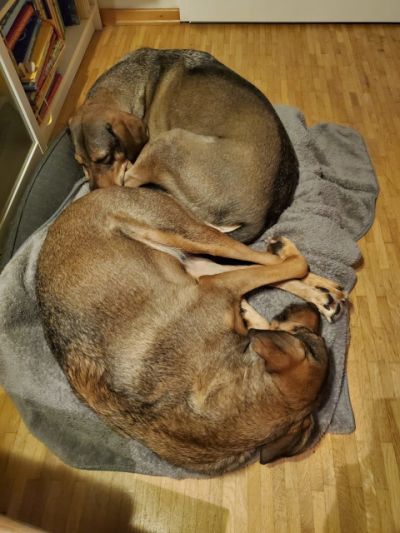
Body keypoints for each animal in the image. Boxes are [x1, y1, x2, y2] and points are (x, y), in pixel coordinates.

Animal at [36, 187, 345, 474]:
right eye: (306, 339)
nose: (310, 315)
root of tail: (81, 200)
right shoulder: (216, 288)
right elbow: (267, 306)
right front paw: (253, 312)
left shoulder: (216, 289)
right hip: (190, 248)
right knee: (275, 263)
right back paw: (312, 283)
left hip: (189, 243)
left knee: (271, 262)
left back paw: (320, 288)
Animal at [68, 48, 299, 243]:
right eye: (81, 163)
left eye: (105, 158)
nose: (95, 194)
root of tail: (263, 215)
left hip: (170, 140)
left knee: (131, 180)